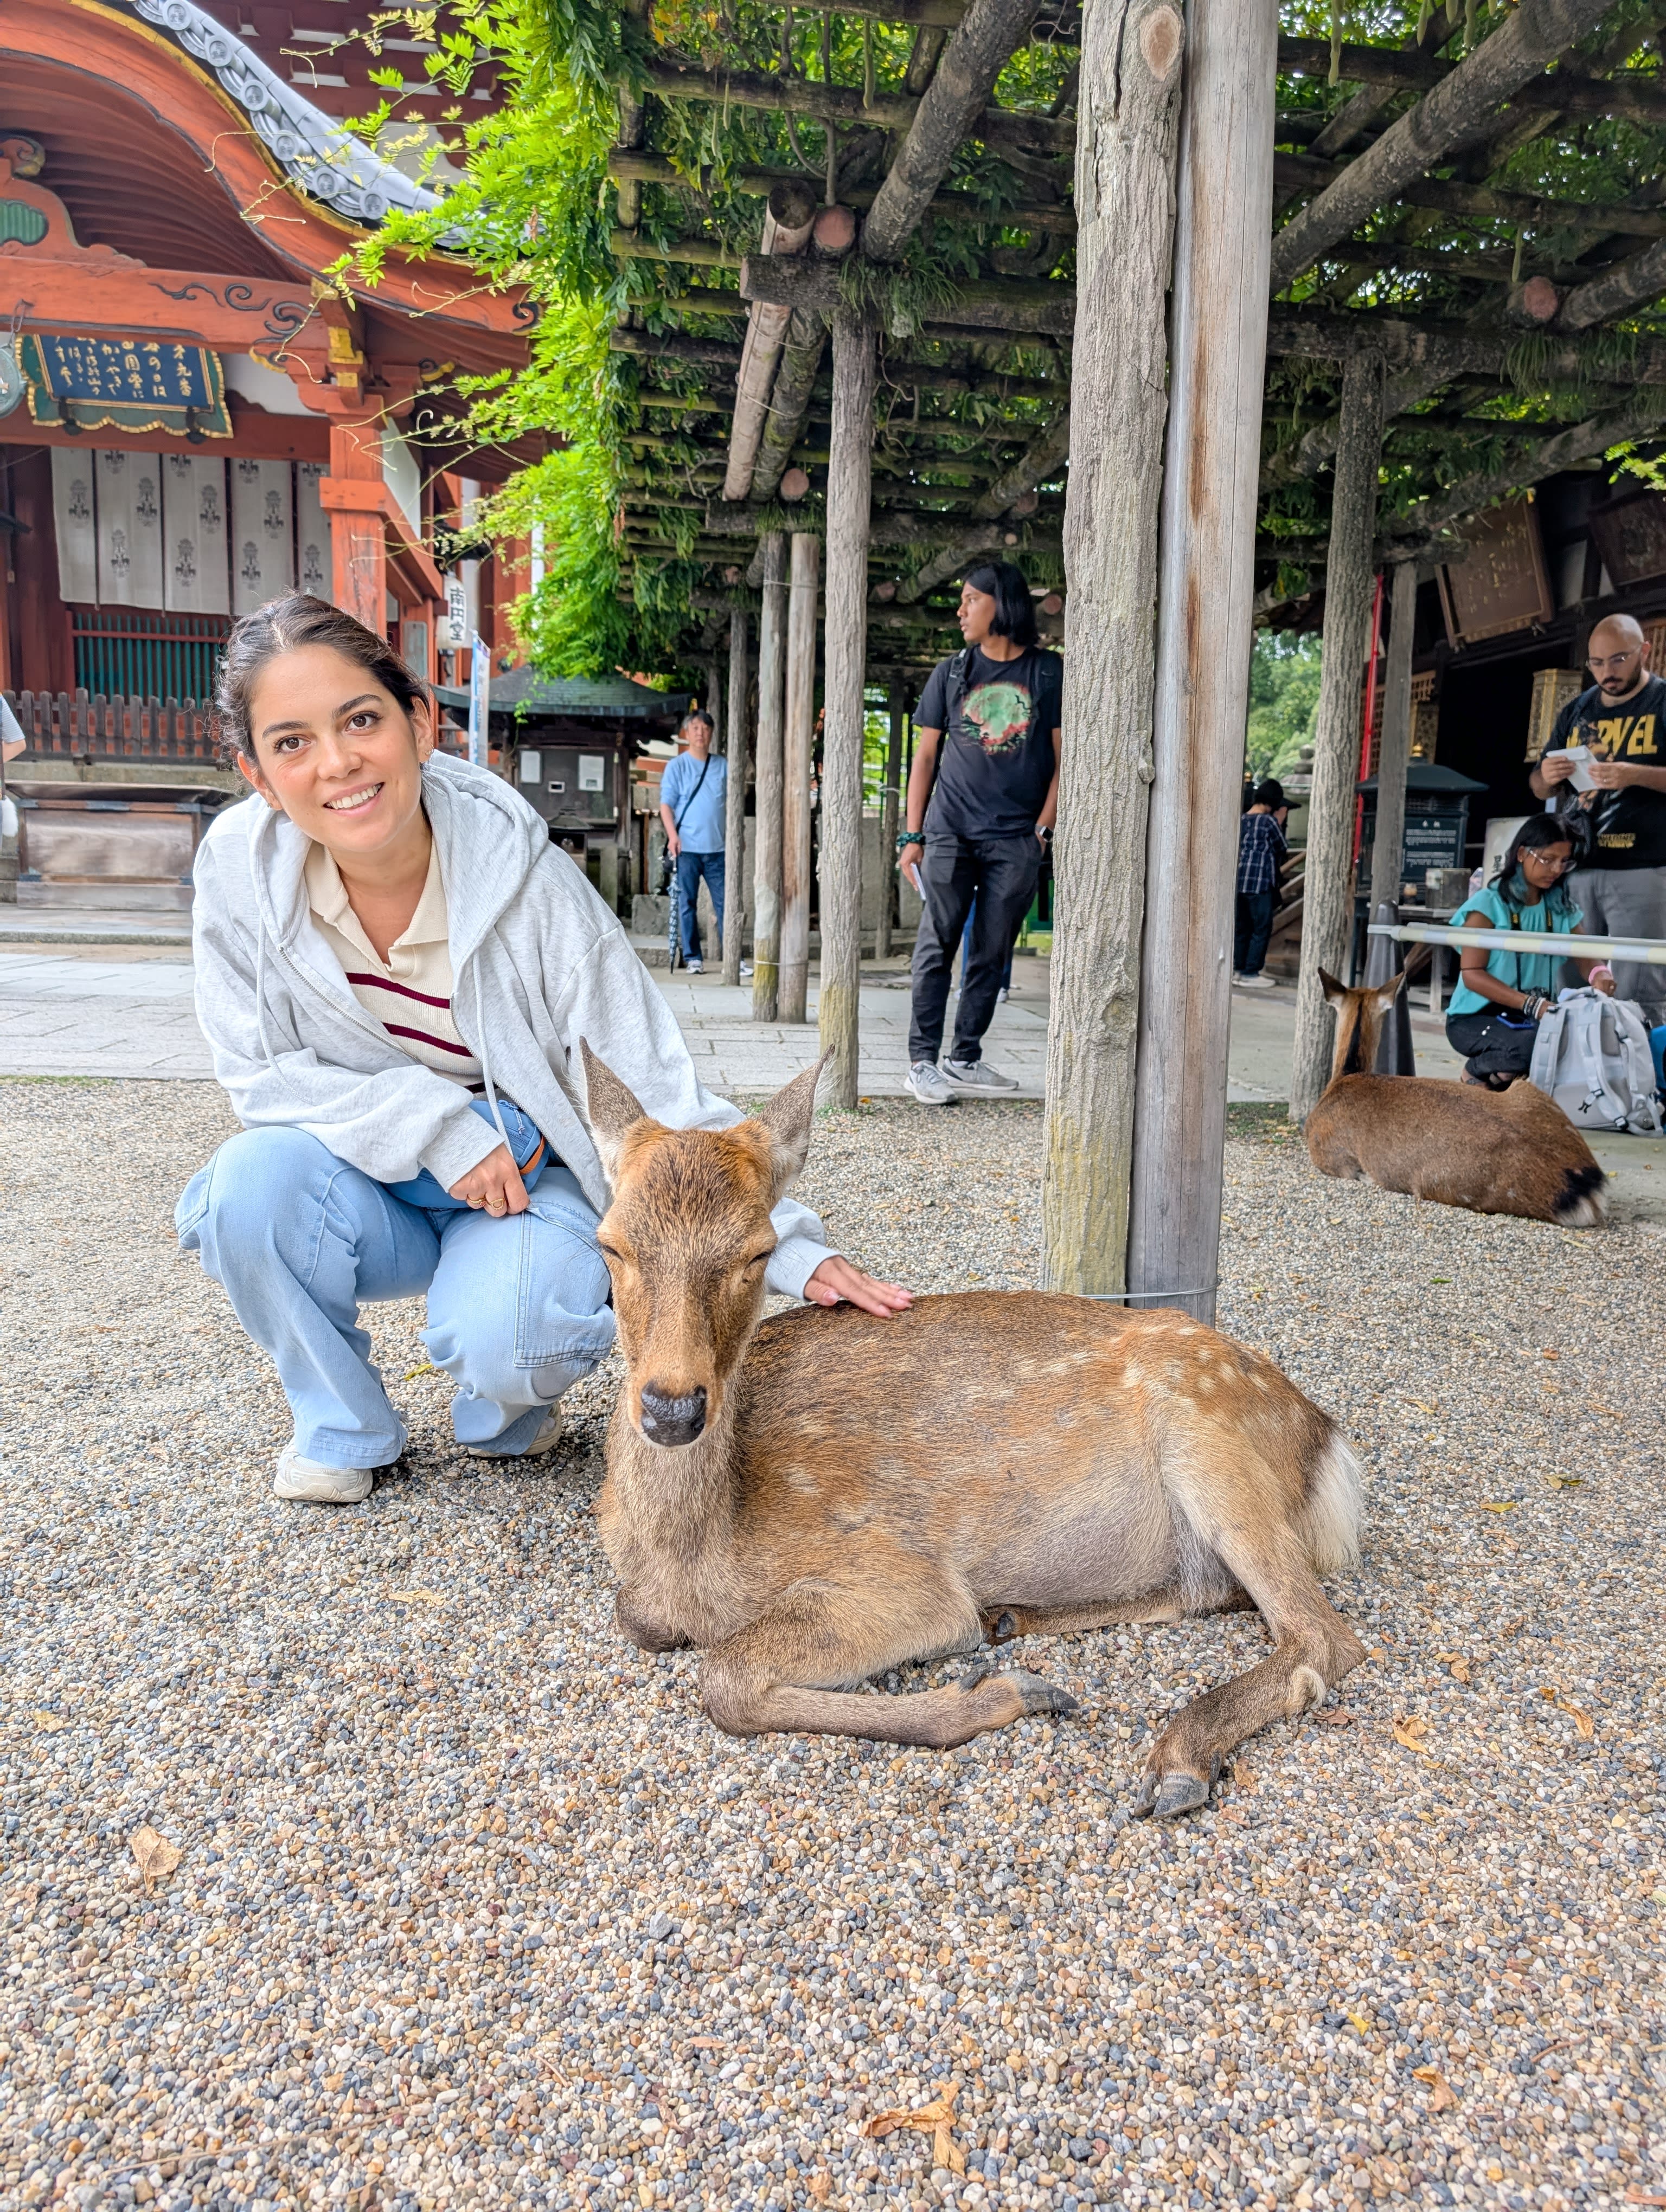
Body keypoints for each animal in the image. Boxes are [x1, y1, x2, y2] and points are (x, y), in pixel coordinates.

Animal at [579, 1042, 1367, 1821]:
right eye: (609, 1245)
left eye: (758, 1251)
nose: (672, 1409)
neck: (701, 1557)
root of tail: (1324, 1437)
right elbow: (639, 1619)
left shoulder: (900, 1574)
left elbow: (724, 1678)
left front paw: (1014, 1691)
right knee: (1219, 1591)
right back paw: (1013, 1618)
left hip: (1208, 1433)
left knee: (1322, 1635)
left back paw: (1177, 1759)